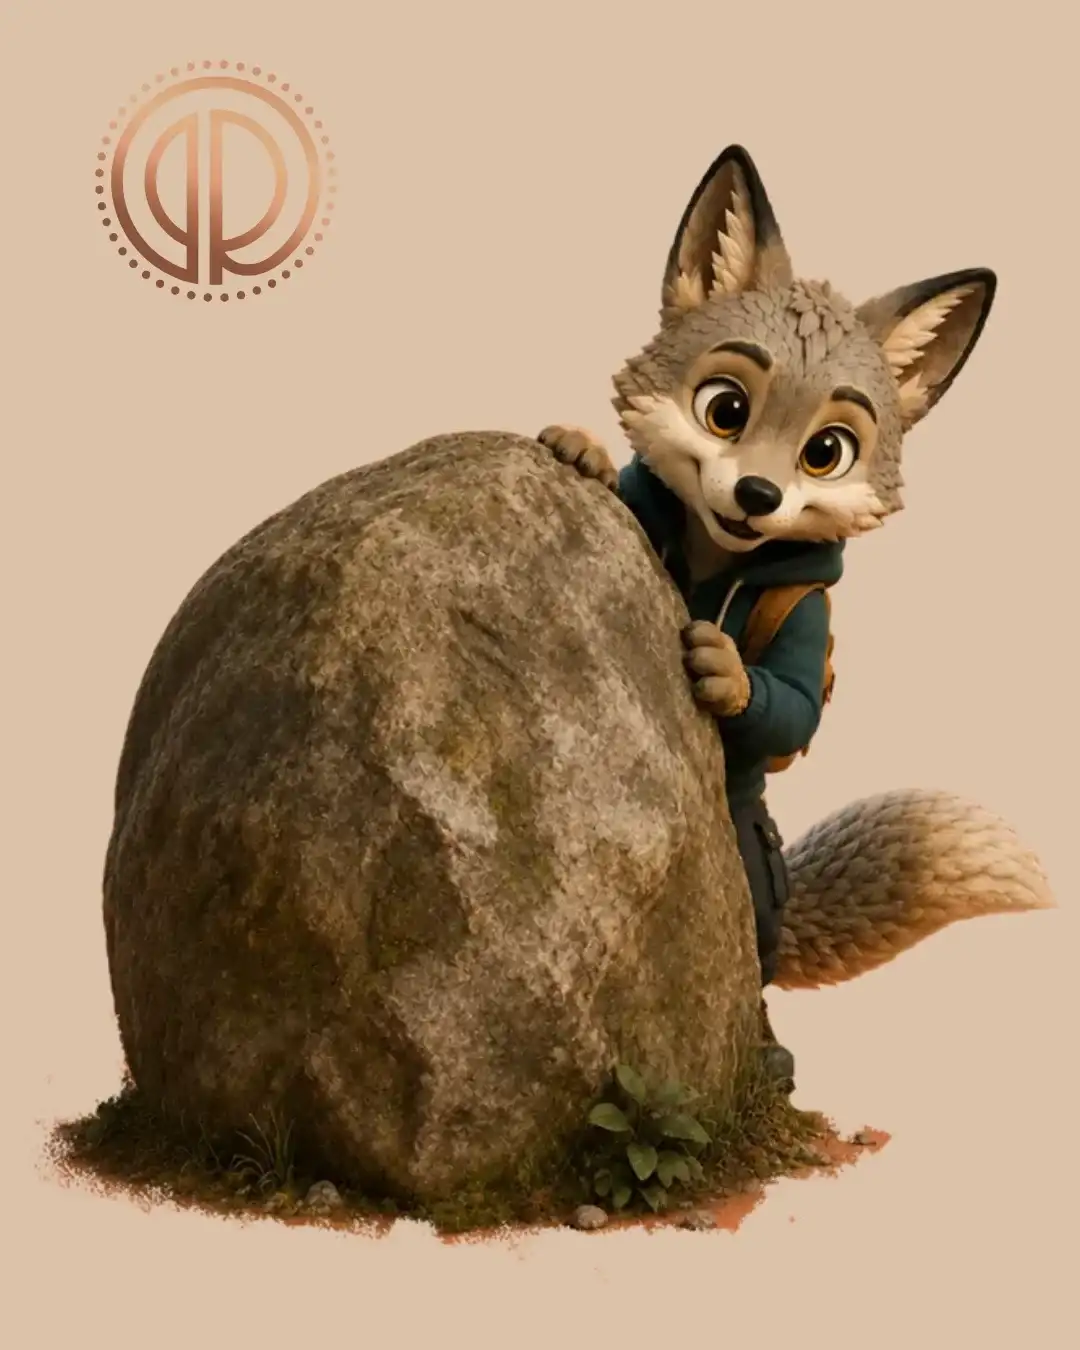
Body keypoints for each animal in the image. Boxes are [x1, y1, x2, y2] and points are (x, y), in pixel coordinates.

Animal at [538, 144, 1053, 1081]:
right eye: (726, 409)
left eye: (826, 452)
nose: (756, 496)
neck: (716, 566)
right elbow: (627, 492)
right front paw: (584, 452)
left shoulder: (808, 612)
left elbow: (796, 705)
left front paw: (728, 673)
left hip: (746, 859)